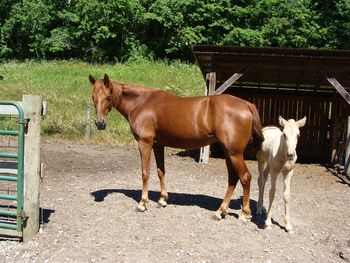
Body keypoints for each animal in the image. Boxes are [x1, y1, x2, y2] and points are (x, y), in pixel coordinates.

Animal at [88, 75, 262, 222]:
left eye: (108, 97)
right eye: (93, 97)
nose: (100, 123)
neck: (142, 103)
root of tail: (247, 104)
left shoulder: (145, 143)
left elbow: (145, 173)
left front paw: (142, 203)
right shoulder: (158, 145)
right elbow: (160, 171)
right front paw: (162, 200)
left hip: (234, 153)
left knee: (245, 177)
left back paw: (244, 213)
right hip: (228, 153)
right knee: (233, 178)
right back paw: (220, 212)